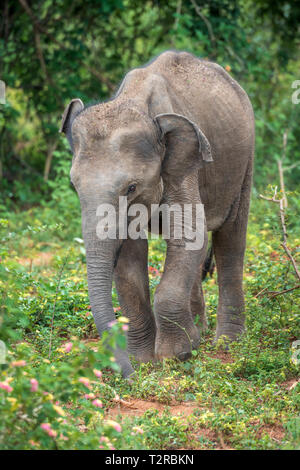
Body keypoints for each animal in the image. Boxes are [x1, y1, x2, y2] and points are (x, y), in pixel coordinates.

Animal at [59, 49, 254, 378]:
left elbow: (191, 234)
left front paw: (176, 355)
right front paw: (144, 359)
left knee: (230, 239)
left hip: (246, 160)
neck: (135, 101)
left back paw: (227, 342)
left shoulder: (183, 165)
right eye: (74, 186)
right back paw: (200, 331)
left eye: (131, 187)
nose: (128, 378)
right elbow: (130, 259)